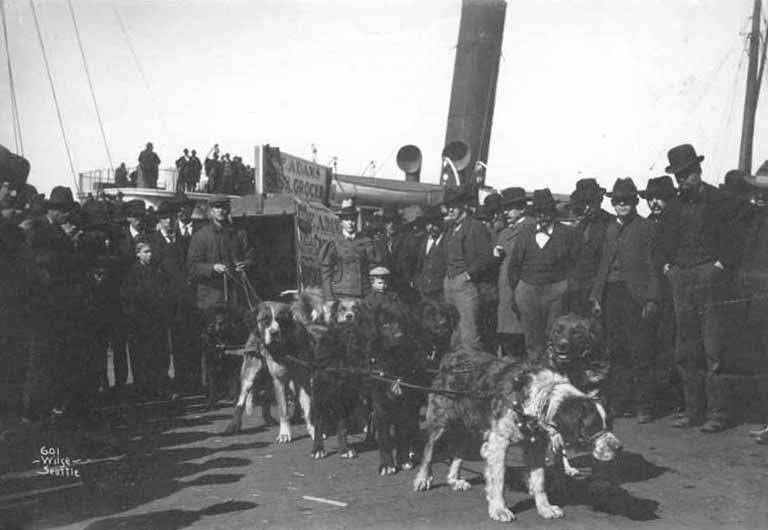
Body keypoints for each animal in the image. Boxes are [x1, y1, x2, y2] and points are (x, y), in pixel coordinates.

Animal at [412, 348, 620, 516]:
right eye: (592, 428)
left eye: (609, 424)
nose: (619, 447)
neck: (541, 398)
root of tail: (452, 355)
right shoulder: (499, 442)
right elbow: (498, 479)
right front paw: (499, 509)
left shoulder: (536, 445)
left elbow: (539, 479)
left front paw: (544, 507)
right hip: (442, 420)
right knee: (429, 449)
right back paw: (422, 478)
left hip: (473, 425)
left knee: (458, 451)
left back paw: (454, 479)